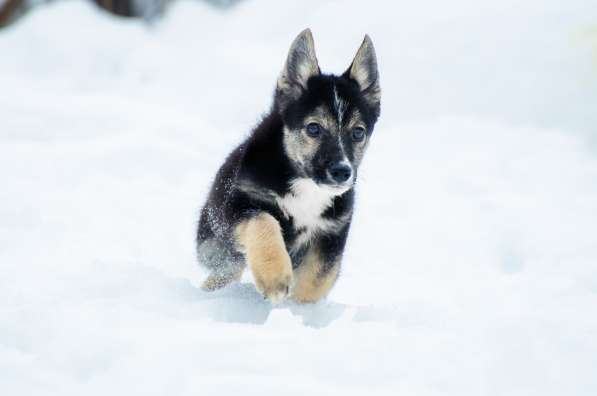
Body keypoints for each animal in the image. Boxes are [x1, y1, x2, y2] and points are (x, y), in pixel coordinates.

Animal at [197, 28, 382, 304]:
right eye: (313, 128)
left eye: (358, 133)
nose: (342, 172)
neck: (305, 184)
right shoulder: (239, 205)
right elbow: (264, 222)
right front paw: (274, 278)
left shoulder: (332, 232)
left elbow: (318, 277)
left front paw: (300, 308)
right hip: (212, 241)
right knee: (227, 265)